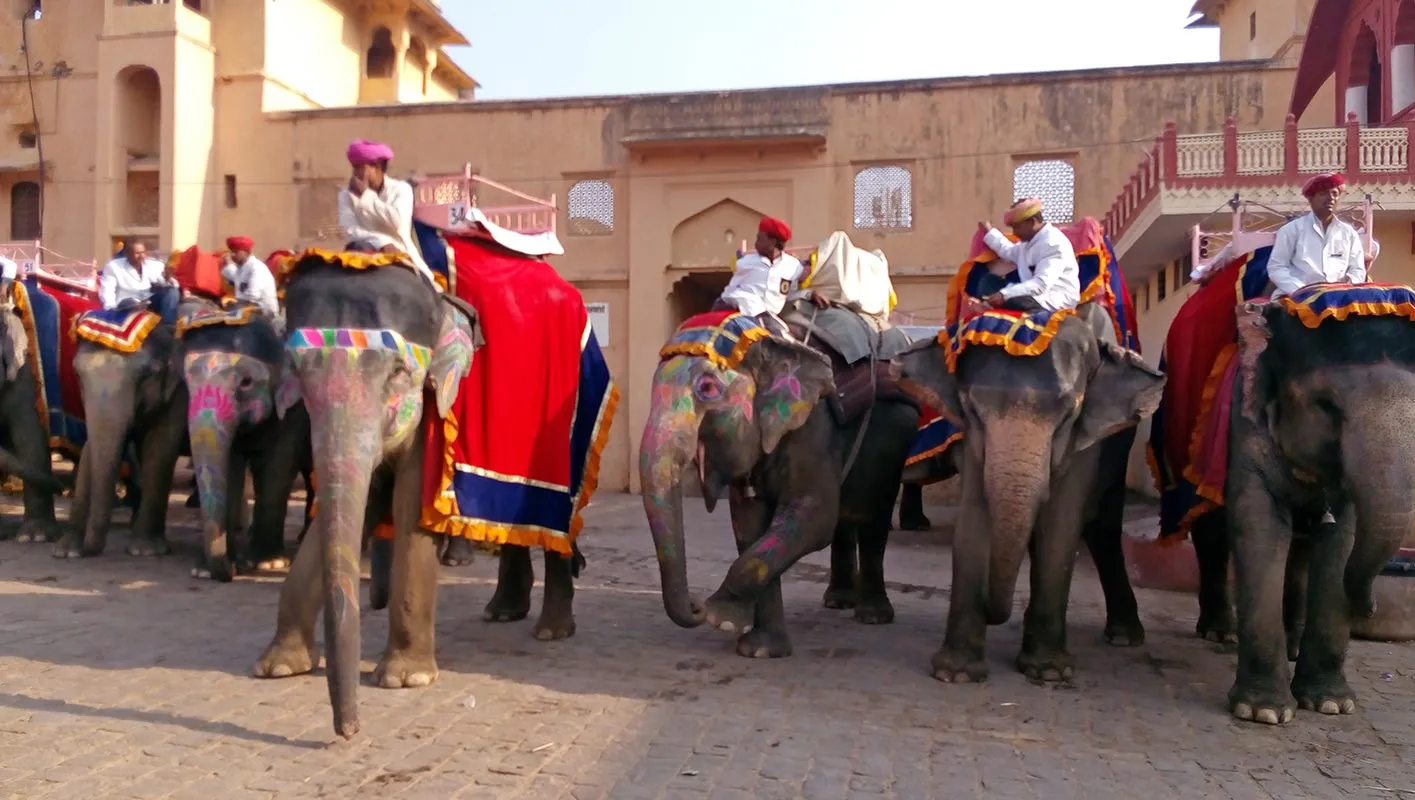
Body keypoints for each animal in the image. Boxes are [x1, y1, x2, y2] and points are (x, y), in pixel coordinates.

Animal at [181, 305, 314, 581]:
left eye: (246, 382)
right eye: (186, 382)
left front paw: (268, 563)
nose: (233, 569)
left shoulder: (294, 410)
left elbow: (279, 465)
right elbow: (231, 466)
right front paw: (204, 570)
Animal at [640, 309, 921, 659]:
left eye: (707, 388)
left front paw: (720, 617)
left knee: (875, 514)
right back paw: (837, 601)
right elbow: (749, 527)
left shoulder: (812, 428)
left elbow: (814, 519)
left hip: (896, 436)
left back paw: (872, 616)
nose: (695, 606)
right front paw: (758, 648)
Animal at [892, 302, 1165, 683]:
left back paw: (1124, 636)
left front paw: (1049, 671)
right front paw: (957, 673)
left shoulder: (1087, 429)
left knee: (1102, 524)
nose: (992, 610)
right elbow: (974, 511)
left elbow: (1063, 518)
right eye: (972, 409)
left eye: (1069, 413)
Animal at [1220, 302, 1415, 726]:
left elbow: (1341, 539)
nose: (1372, 607)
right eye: (1327, 406)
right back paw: (1218, 633)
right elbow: (1259, 529)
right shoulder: (1246, 432)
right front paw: (1263, 711)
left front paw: (1331, 705)